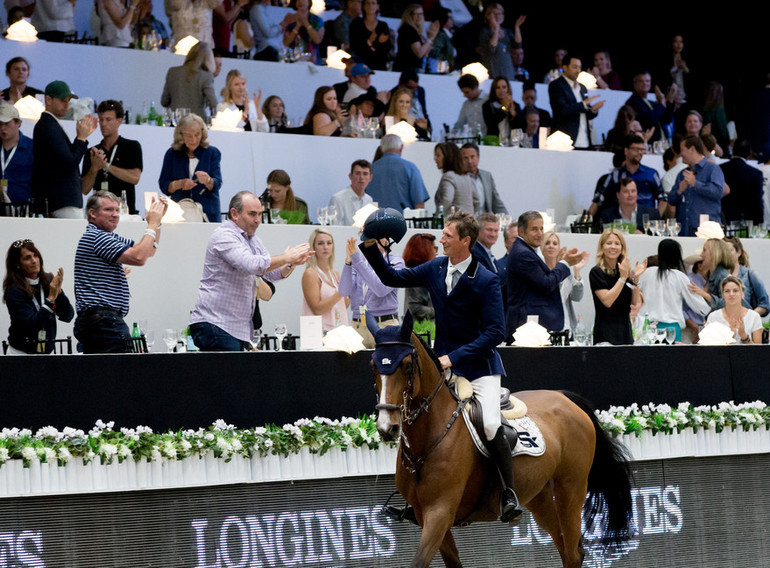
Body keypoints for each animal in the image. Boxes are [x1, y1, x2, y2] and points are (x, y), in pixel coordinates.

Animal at [370, 318, 632, 564]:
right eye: (373, 365)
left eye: (406, 365)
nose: (386, 427)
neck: (428, 438)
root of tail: (564, 397)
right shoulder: (426, 516)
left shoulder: (440, 512)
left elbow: (419, 560)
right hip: (540, 496)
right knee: (567, 551)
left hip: (571, 489)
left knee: (573, 553)